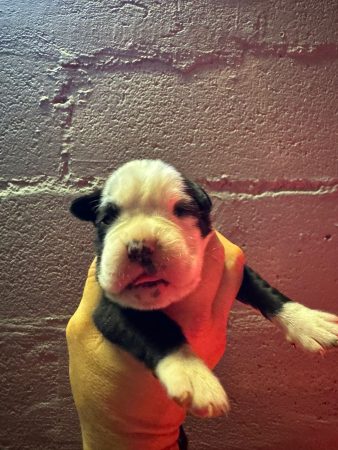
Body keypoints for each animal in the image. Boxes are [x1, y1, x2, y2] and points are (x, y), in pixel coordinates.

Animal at [70, 160, 338, 420]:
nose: (140, 246)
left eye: (181, 210)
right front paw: (192, 373)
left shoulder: (235, 268)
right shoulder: (110, 308)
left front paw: (307, 322)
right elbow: (157, 328)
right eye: (106, 219)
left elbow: (263, 290)